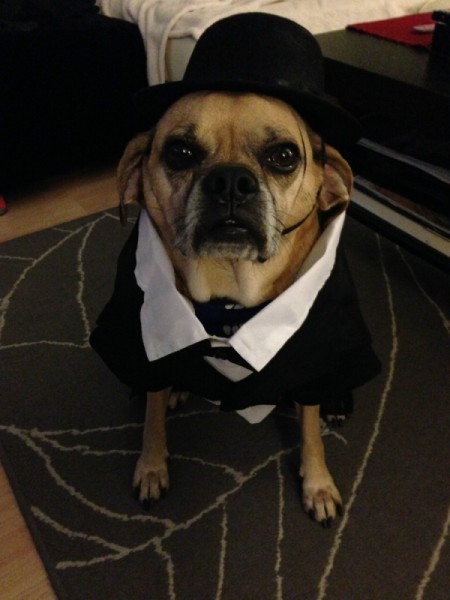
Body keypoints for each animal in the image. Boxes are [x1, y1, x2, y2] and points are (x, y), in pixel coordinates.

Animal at [91, 14, 380, 528]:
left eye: (284, 156)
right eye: (180, 152)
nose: (230, 180)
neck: (228, 287)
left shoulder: (317, 353)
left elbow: (310, 428)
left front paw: (318, 482)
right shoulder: (142, 345)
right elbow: (151, 412)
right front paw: (151, 464)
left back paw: (337, 404)